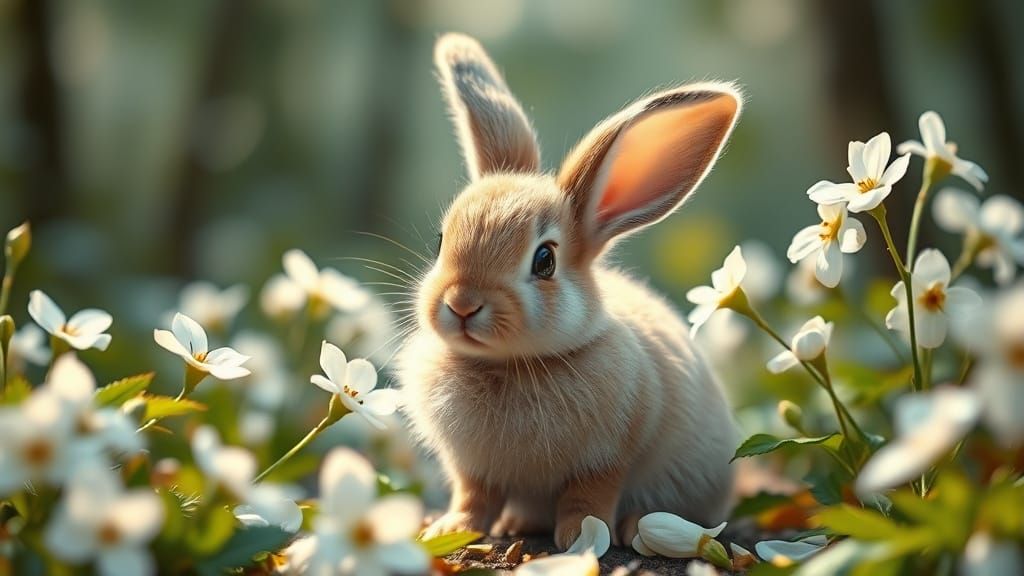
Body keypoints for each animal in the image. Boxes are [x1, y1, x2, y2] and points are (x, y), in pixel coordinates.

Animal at [397, 32, 742, 550]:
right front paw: (452, 529)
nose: (462, 304)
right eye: (440, 242)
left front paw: (582, 536)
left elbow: (589, 495)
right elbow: (472, 495)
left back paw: (631, 528)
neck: (508, 366)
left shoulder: (609, 457)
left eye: (545, 261)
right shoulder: (472, 469)